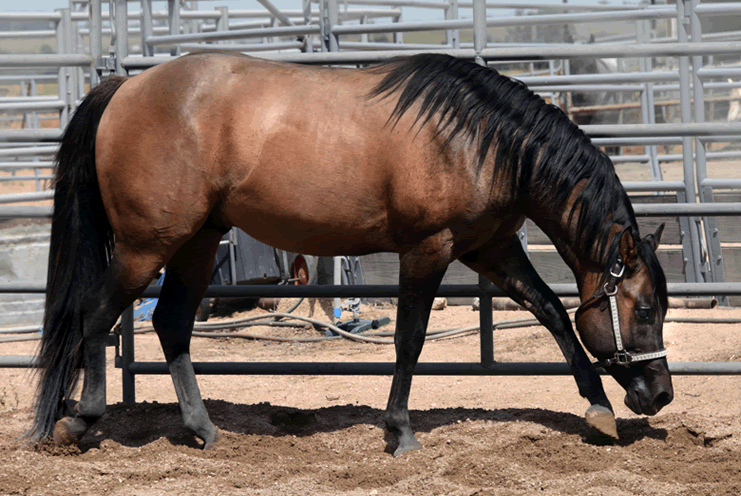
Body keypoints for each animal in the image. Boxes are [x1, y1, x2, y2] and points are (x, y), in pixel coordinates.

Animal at [28, 52, 672, 456]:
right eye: (644, 310)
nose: (660, 394)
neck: (477, 140)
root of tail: (125, 89)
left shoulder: (491, 247)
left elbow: (554, 313)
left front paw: (598, 411)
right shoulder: (428, 250)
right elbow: (410, 339)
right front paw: (401, 433)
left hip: (197, 241)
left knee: (170, 324)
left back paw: (203, 430)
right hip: (147, 245)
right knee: (96, 314)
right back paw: (80, 419)